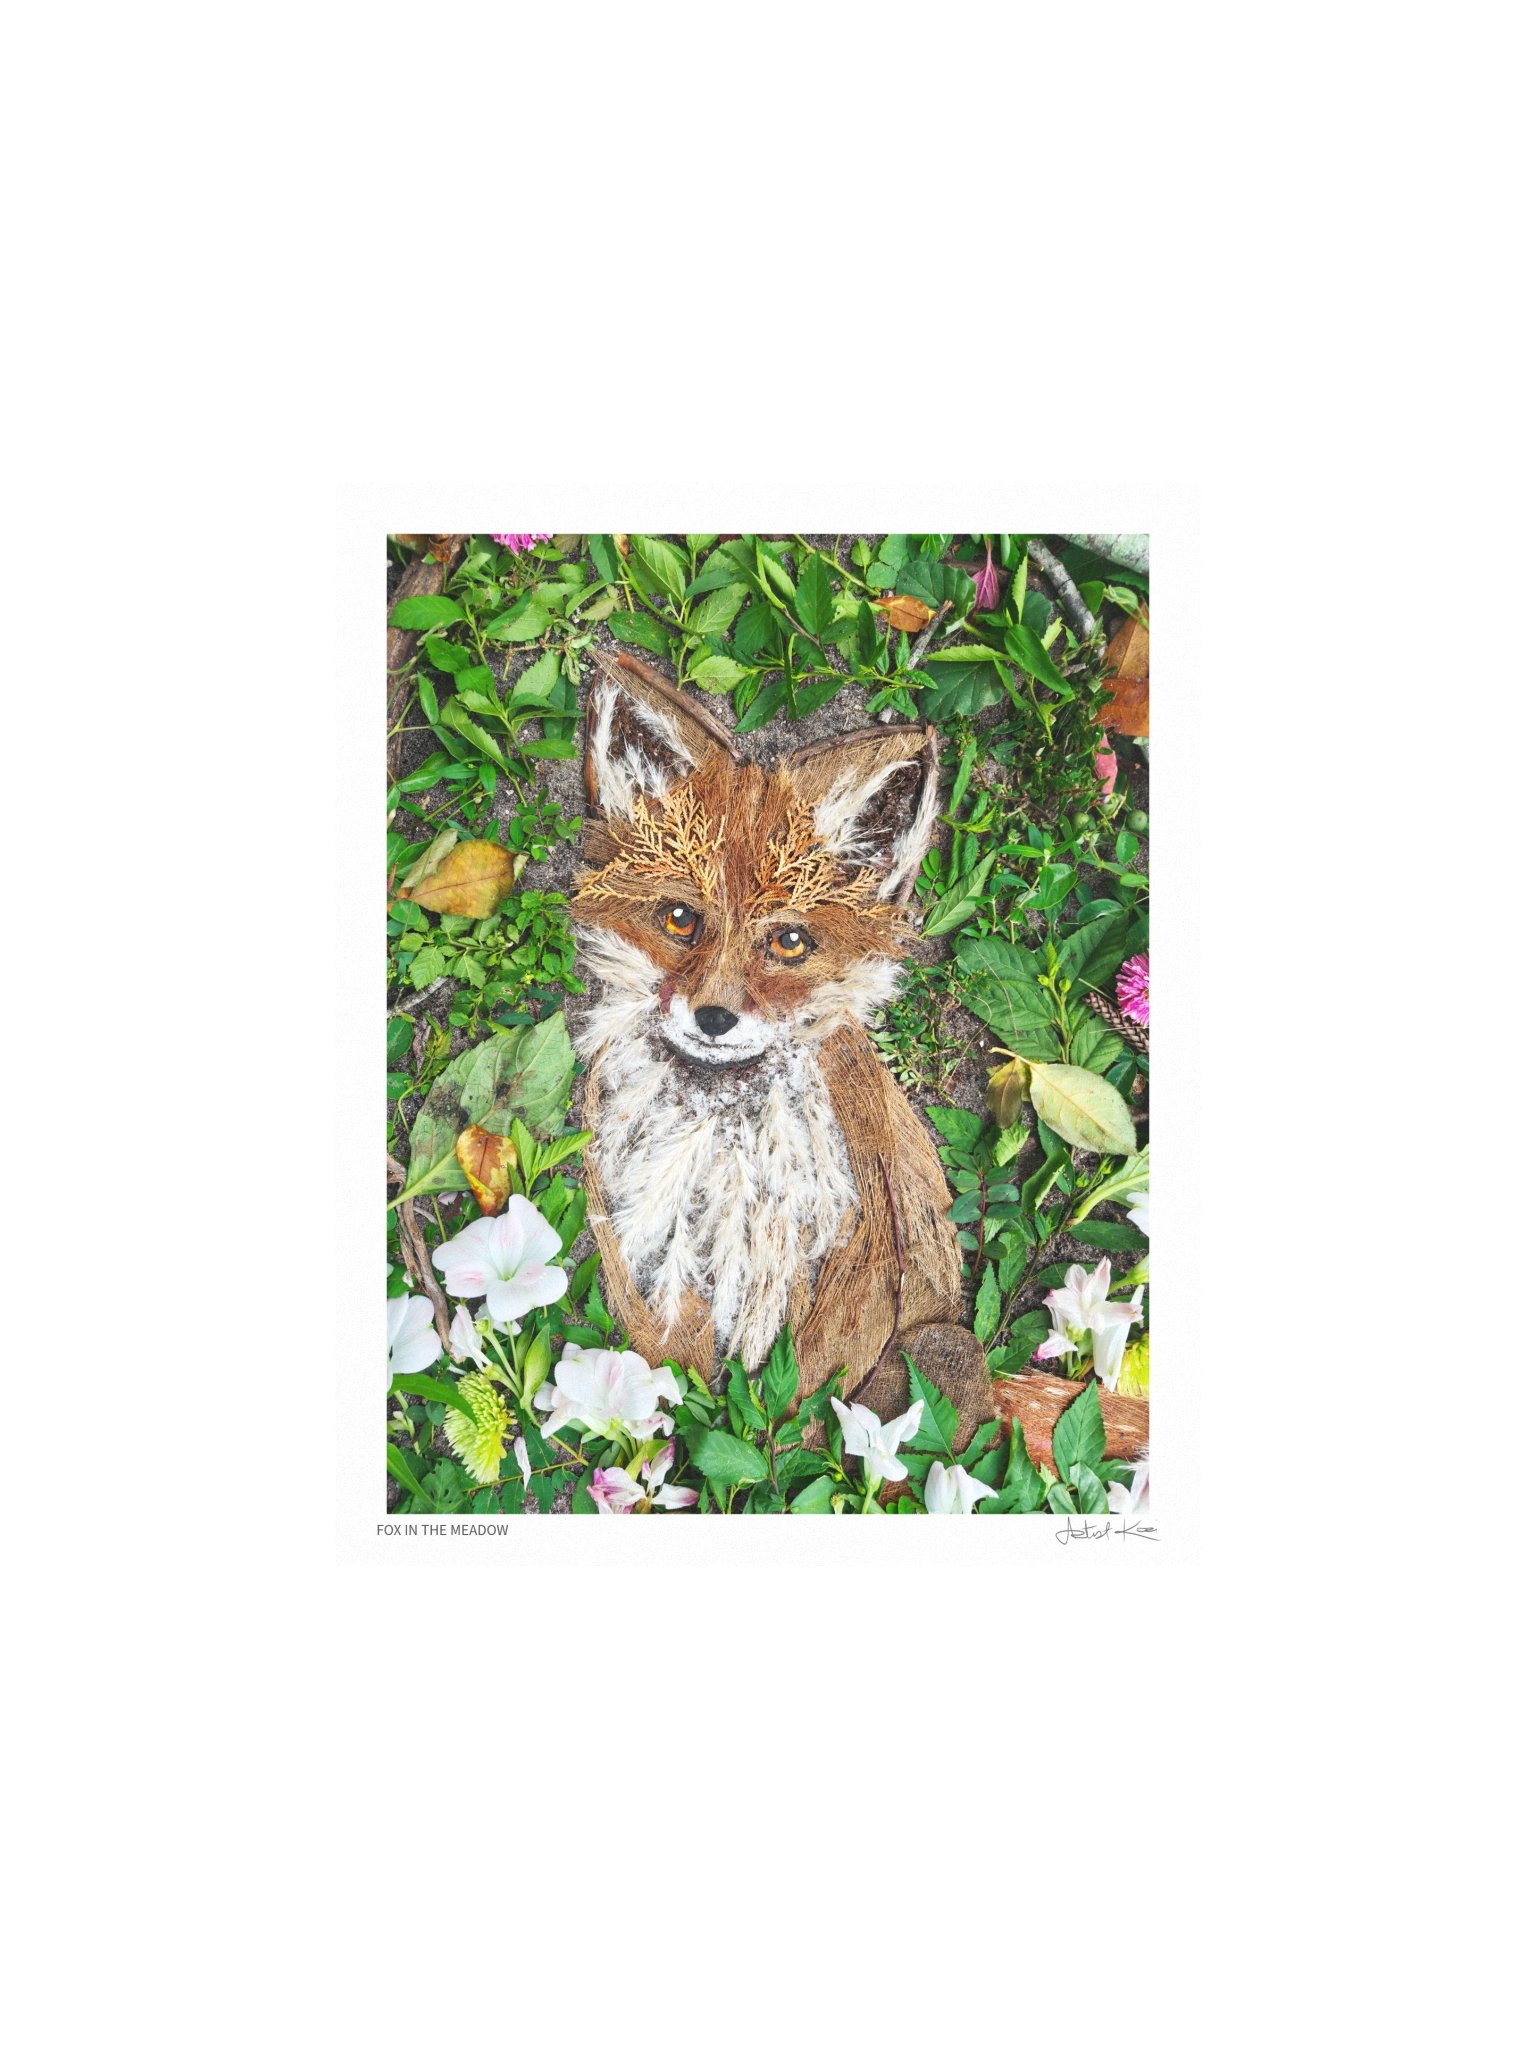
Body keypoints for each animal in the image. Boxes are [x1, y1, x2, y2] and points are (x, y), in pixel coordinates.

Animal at [567, 649, 996, 1445]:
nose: (713, 1017)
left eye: (790, 942)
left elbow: (803, 1402)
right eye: (680, 920)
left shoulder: (843, 1260)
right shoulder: (644, 1256)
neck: (719, 1151)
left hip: (941, 1347)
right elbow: (671, 1375)